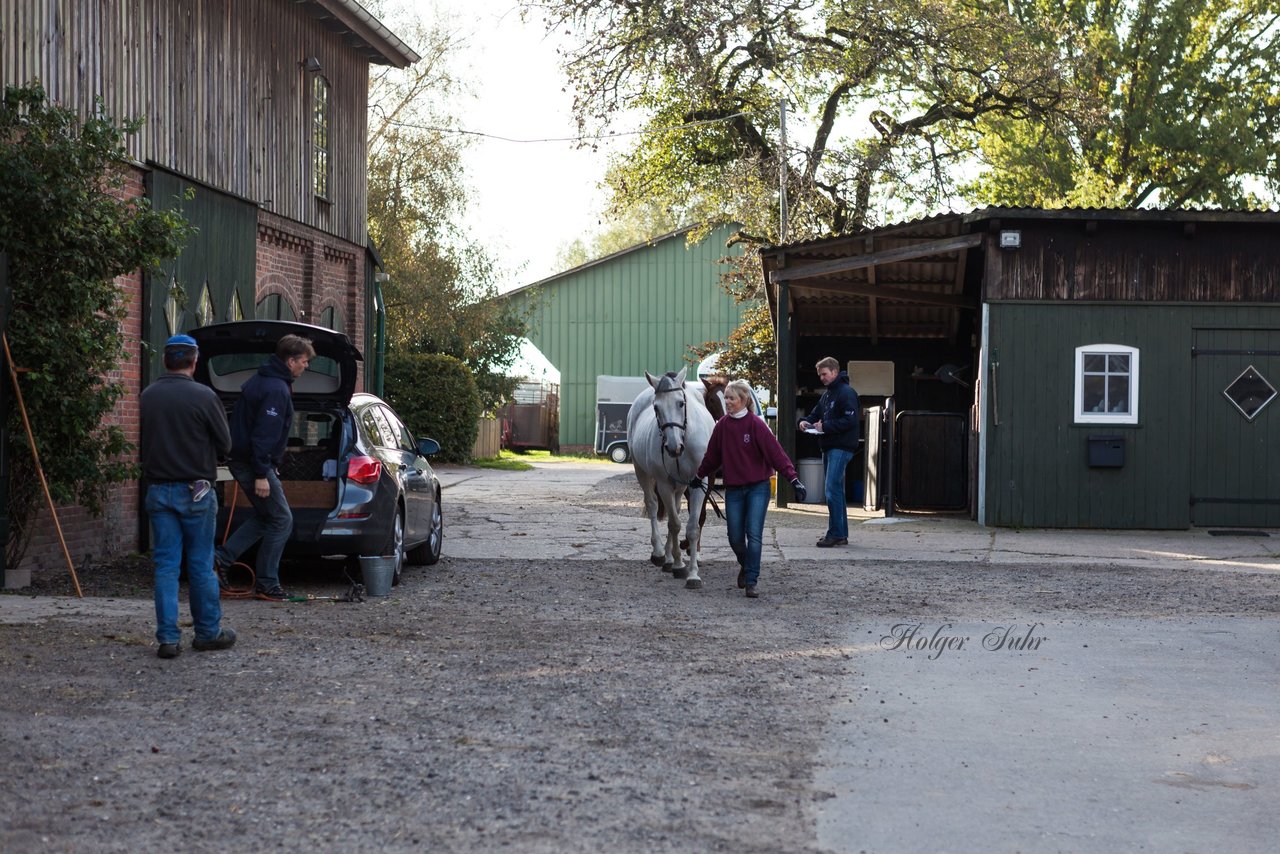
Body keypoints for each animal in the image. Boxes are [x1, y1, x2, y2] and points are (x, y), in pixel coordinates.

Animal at [629, 363, 721, 591]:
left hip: (680, 486)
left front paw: (693, 574)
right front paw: (679, 565)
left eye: (681, 403)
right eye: (656, 408)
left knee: (676, 509)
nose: (672, 447)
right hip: (641, 471)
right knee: (653, 505)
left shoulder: (698, 483)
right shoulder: (663, 483)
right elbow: (674, 524)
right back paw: (661, 554)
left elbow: (692, 527)